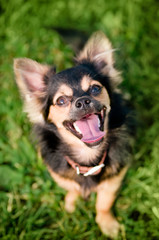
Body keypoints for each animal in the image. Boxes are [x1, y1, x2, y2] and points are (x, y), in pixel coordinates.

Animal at [13, 31, 133, 238]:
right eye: (61, 100)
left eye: (95, 88)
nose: (83, 101)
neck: (87, 155)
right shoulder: (58, 172)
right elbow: (71, 187)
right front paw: (71, 203)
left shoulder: (116, 176)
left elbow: (104, 201)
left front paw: (108, 224)